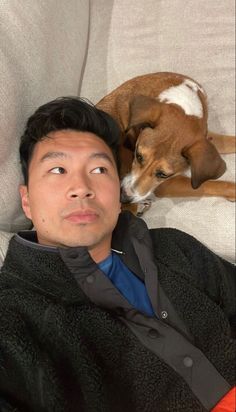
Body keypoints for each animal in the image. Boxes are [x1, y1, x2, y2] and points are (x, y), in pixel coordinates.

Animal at [96, 72, 236, 214]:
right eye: (138, 155)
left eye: (163, 174)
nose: (123, 197)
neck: (184, 103)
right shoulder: (166, 186)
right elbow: (214, 184)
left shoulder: (203, 138)